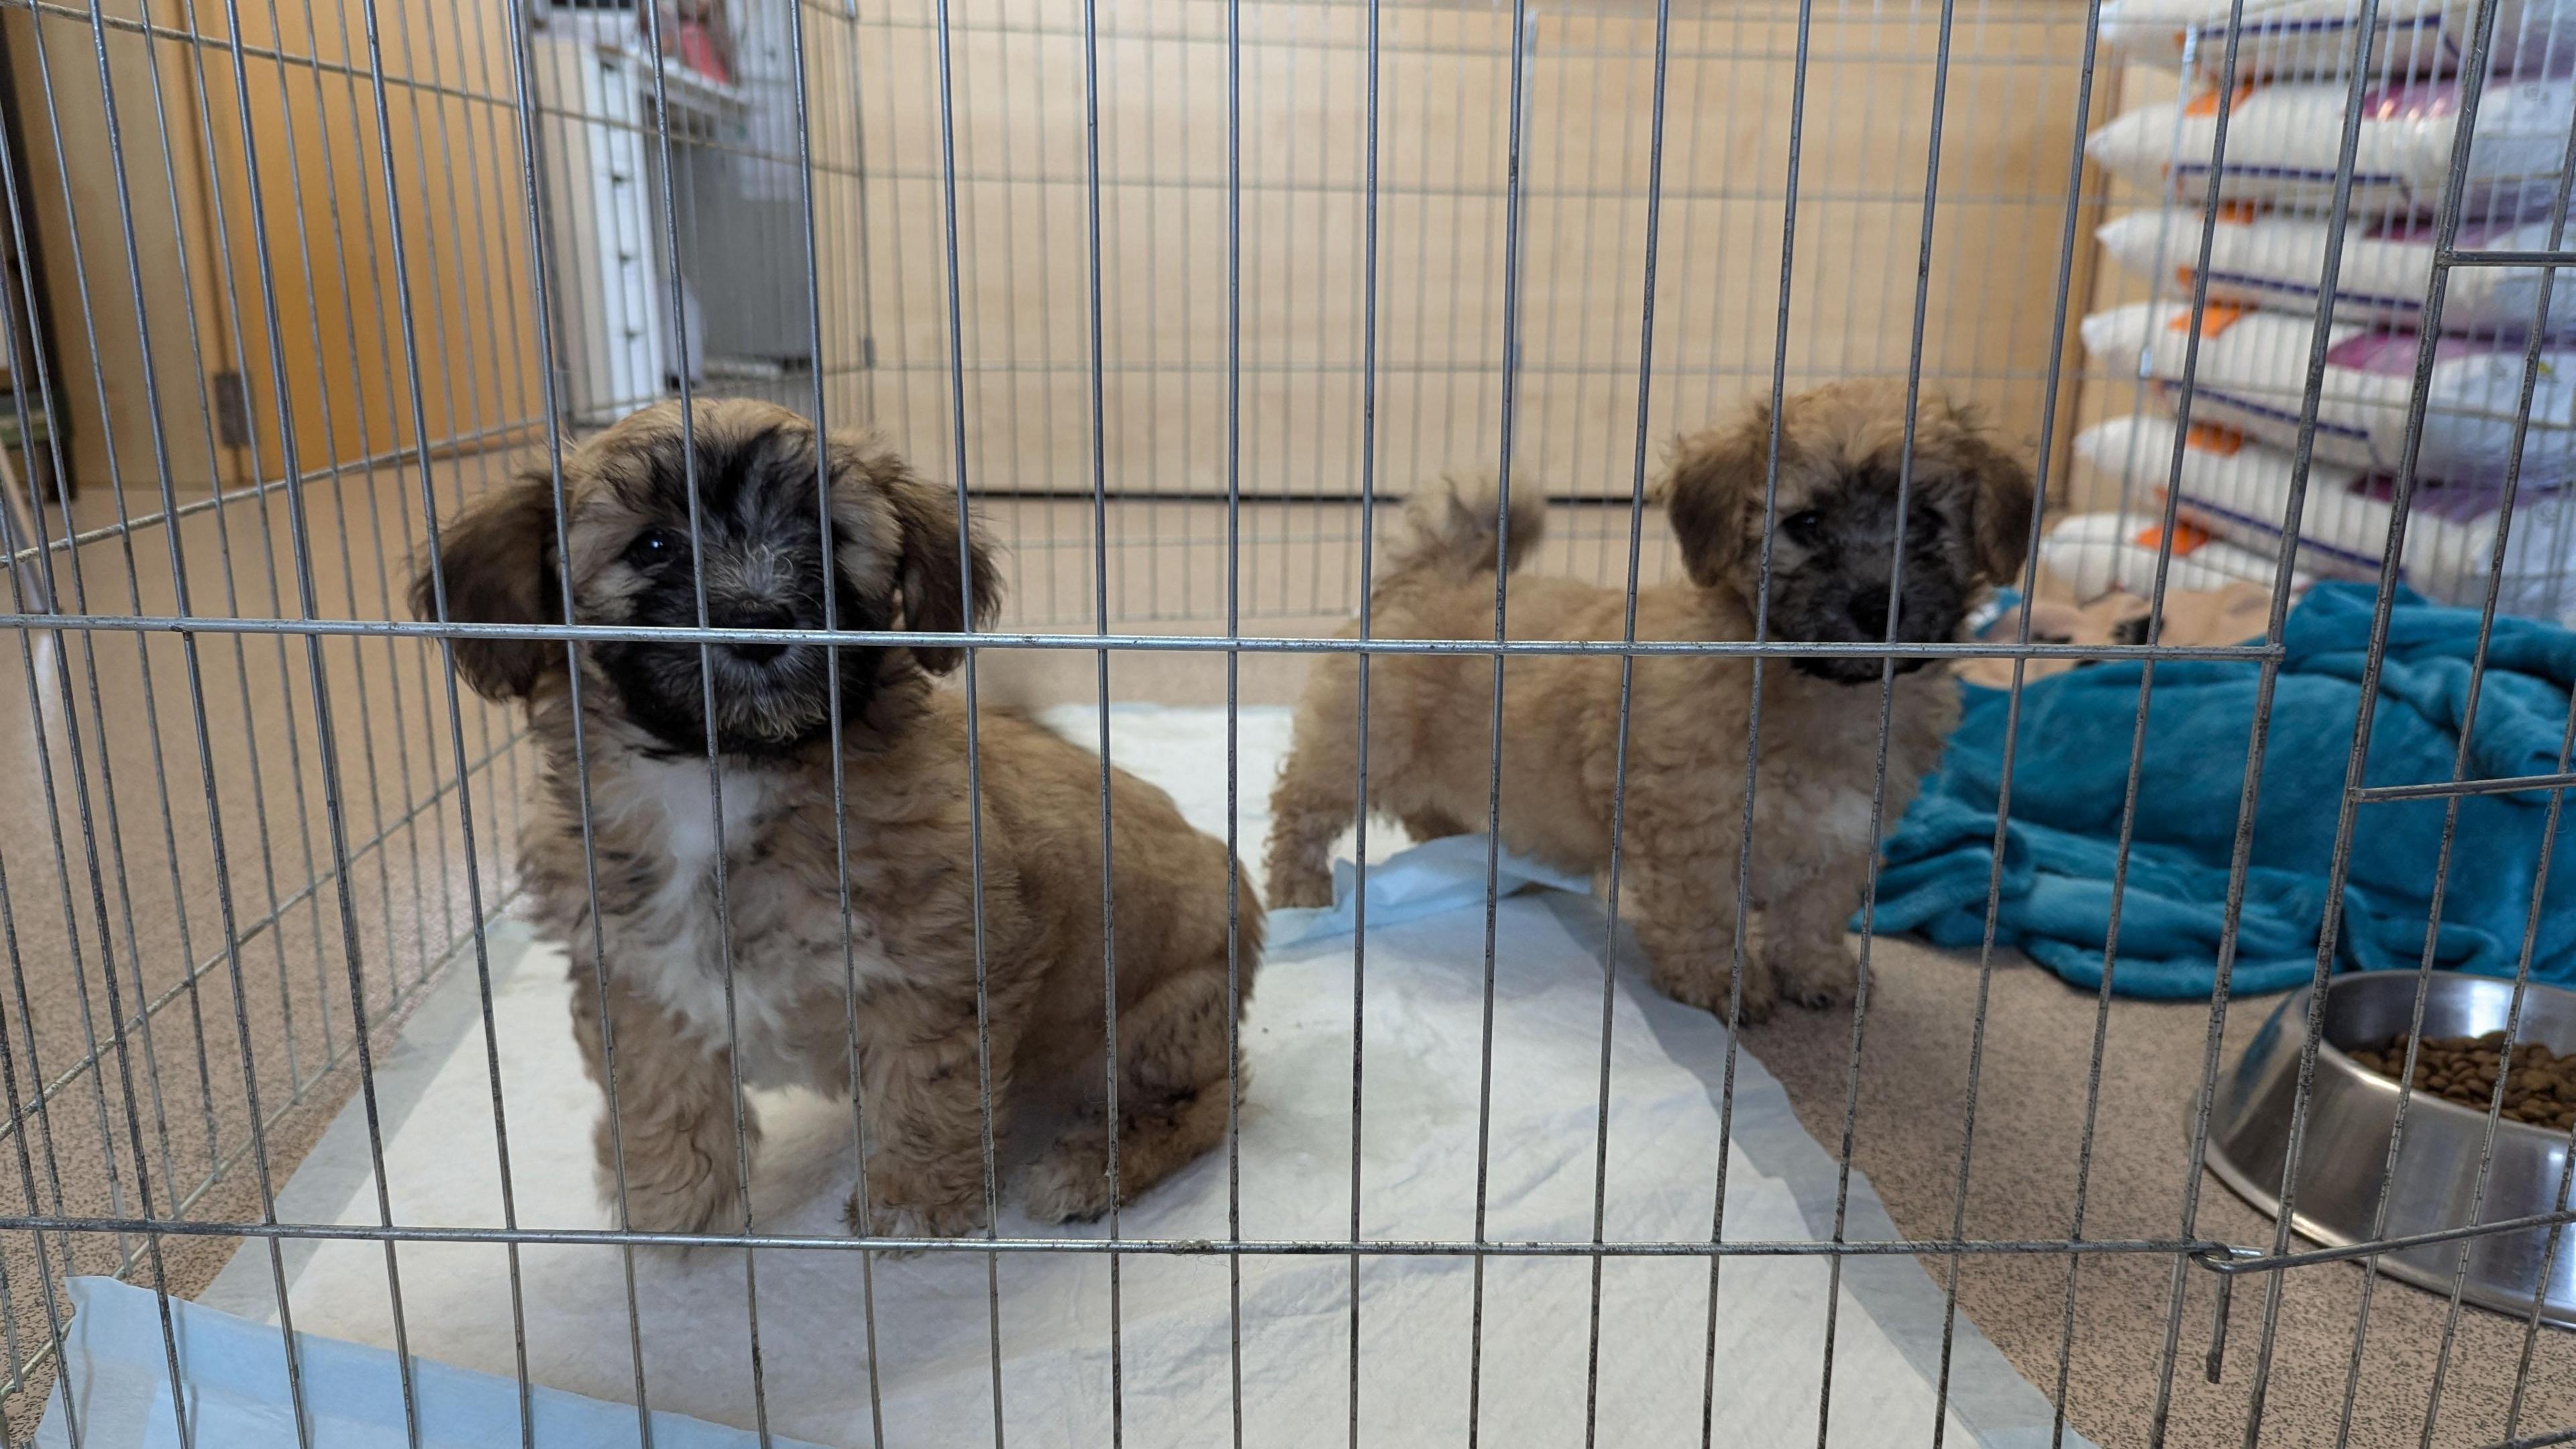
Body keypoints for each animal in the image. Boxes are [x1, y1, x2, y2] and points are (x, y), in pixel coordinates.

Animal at [417, 399, 1262, 1237]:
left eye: (828, 535)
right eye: (652, 546)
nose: (757, 618)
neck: (728, 775)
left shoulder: (939, 971)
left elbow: (927, 1089)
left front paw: (910, 1202)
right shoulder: (633, 971)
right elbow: (658, 1083)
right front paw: (675, 1198)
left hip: (1150, 1025)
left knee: (1211, 1101)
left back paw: (1091, 1168)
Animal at [1267, 381, 2029, 1016]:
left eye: (1926, 522)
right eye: (1807, 525)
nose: (1878, 604)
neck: (1813, 688)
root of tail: (1438, 573)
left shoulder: (1846, 836)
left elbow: (1813, 911)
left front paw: (1817, 972)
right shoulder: (1695, 834)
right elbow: (1707, 913)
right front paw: (1720, 981)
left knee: (1428, 808)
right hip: (1361, 744)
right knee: (1301, 808)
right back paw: (1297, 892)